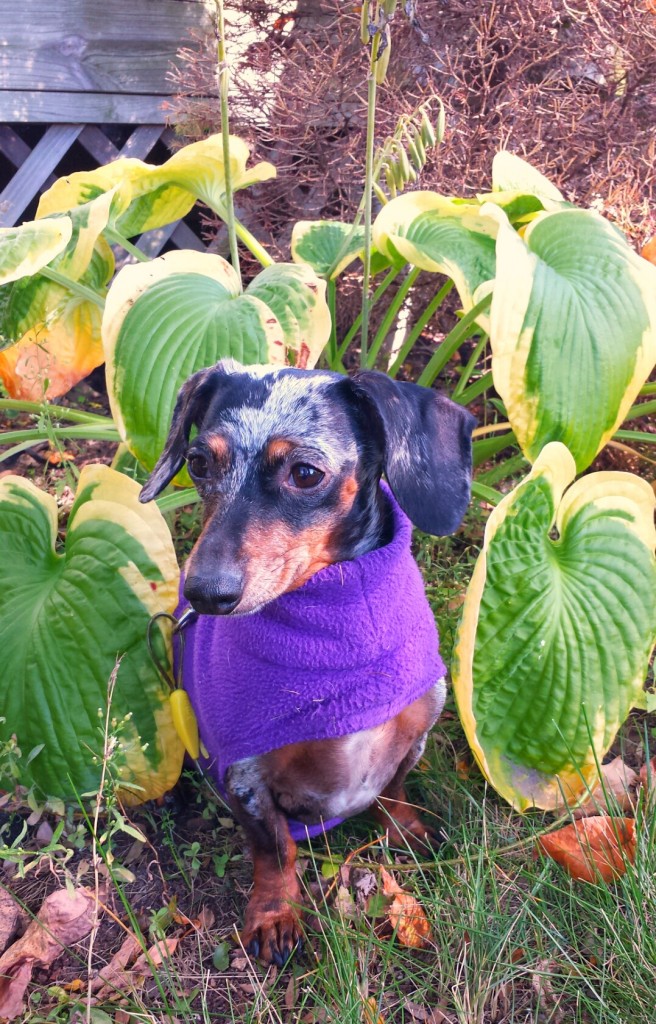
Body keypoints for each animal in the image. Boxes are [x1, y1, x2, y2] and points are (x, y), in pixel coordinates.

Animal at [141, 360, 472, 966]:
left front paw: (406, 831)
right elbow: (275, 851)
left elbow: (394, 790)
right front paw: (275, 915)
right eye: (198, 462)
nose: (204, 593)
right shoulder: (246, 774)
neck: (339, 630)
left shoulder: (415, 734)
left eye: (305, 472)